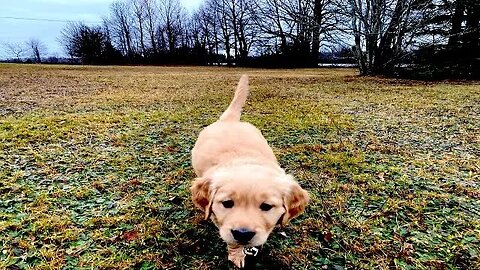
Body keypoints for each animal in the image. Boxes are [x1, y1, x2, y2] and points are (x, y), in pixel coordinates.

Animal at [190, 74, 308, 268]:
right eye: (227, 203)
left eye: (266, 206)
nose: (243, 234)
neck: (244, 159)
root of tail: (230, 120)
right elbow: (231, 240)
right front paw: (237, 255)